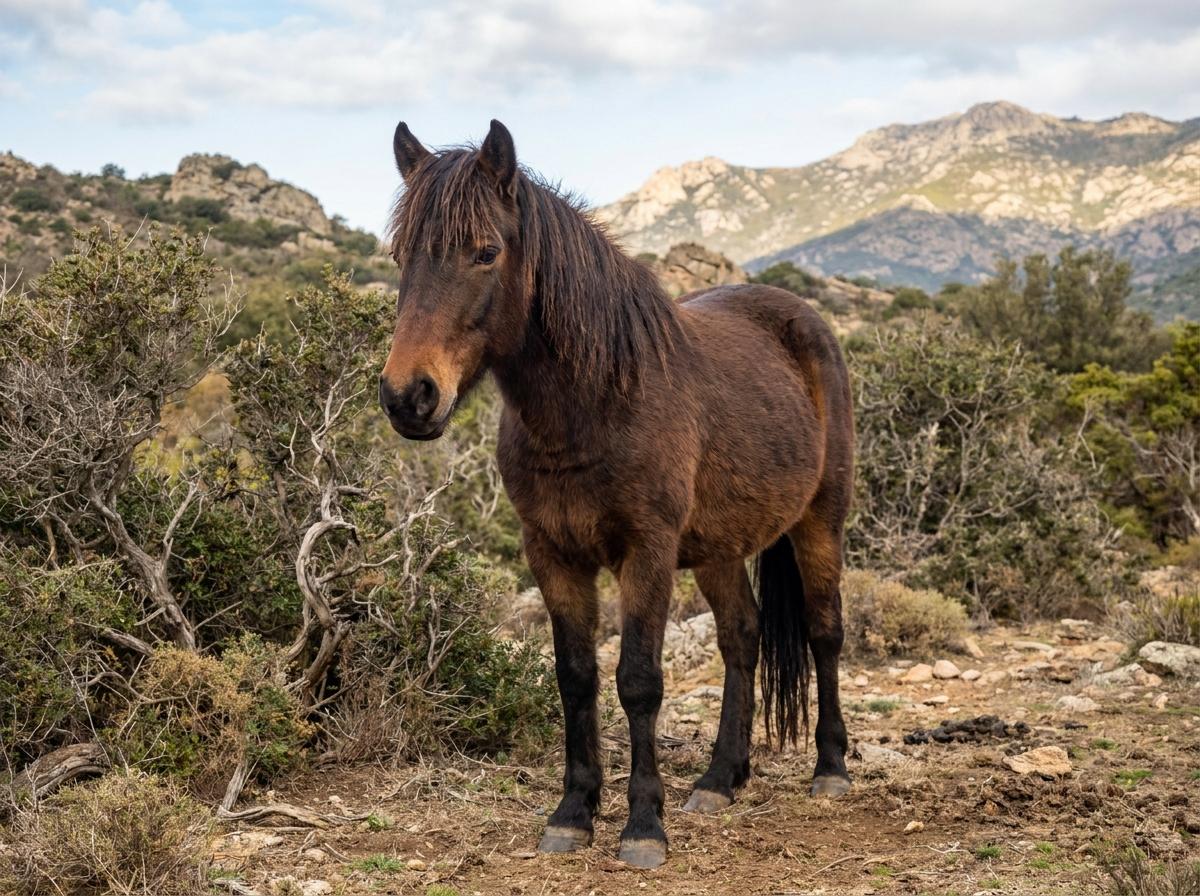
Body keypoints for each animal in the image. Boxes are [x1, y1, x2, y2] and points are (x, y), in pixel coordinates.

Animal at [379, 119, 855, 870]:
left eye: (485, 252)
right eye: (400, 255)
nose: (408, 397)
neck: (595, 402)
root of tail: (801, 319)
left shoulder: (647, 554)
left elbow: (638, 681)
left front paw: (642, 827)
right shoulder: (552, 554)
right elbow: (576, 676)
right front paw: (573, 813)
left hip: (820, 522)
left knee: (824, 631)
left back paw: (830, 769)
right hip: (719, 549)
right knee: (741, 638)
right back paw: (720, 779)